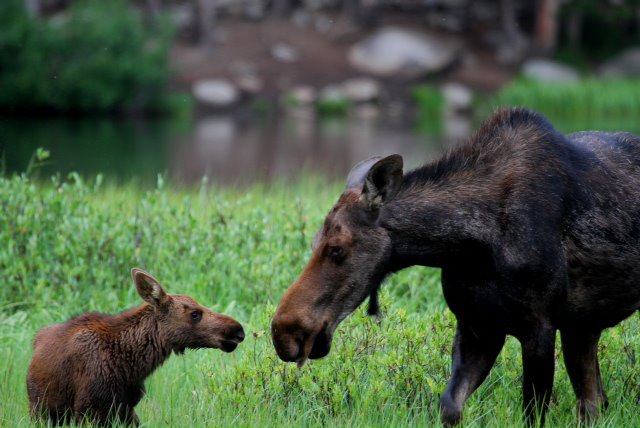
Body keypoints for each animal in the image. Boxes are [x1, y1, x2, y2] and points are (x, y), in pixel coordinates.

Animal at [26, 268, 245, 424]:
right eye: (194, 314)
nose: (238, 331)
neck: (131, 365)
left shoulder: (126, 407)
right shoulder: (90, 408)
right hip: (41, 410)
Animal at [272, 106, 640, 424]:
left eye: (336, 248)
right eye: (313, 241)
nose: (284, 331)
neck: (470, 245)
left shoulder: (540, 326)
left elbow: (532, 413)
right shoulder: (478, 326)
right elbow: (450, 406)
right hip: (582, 326)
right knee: (594, 401)